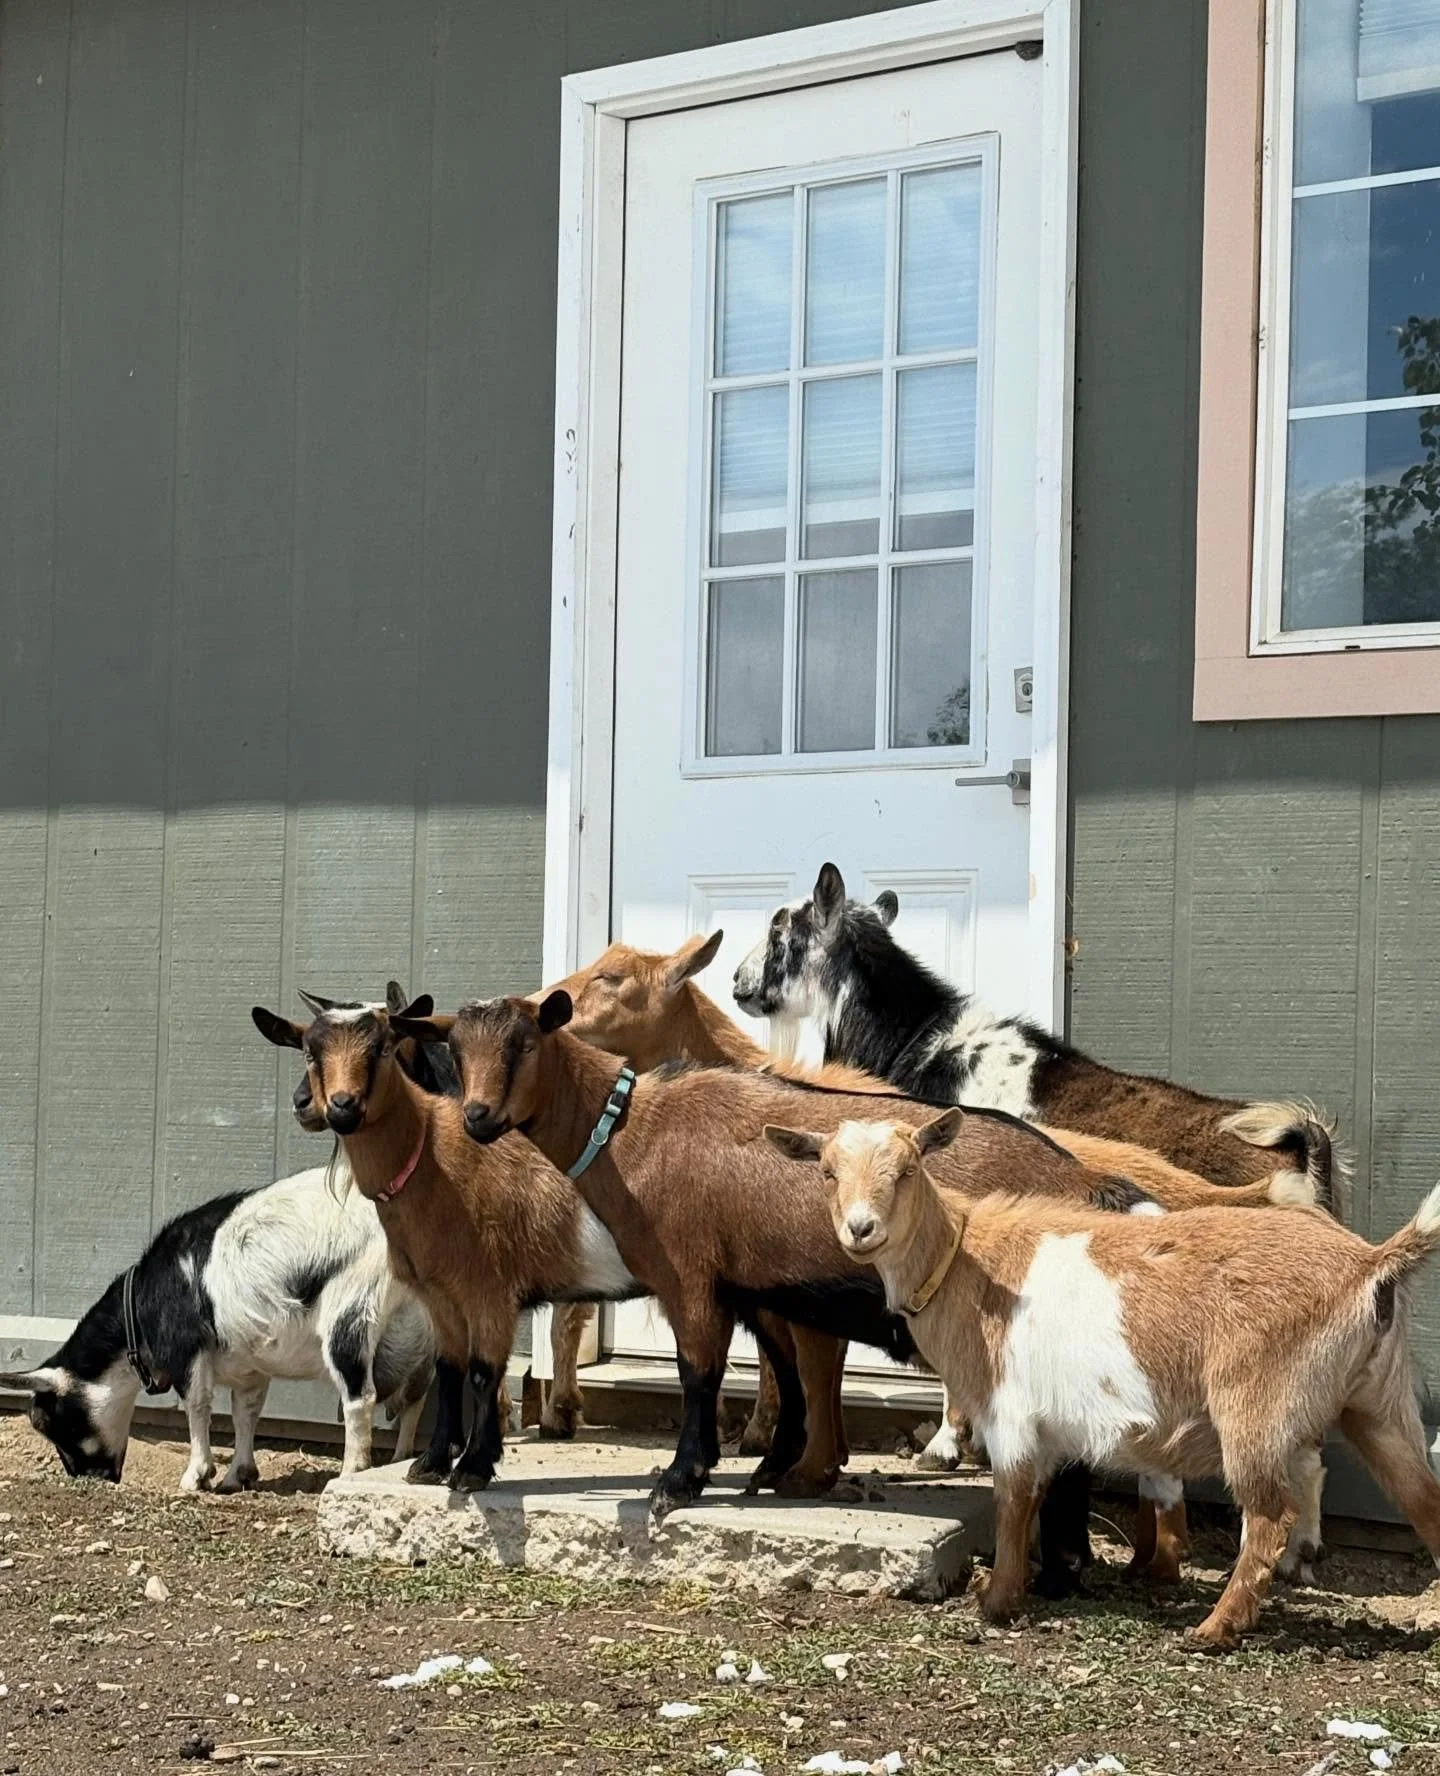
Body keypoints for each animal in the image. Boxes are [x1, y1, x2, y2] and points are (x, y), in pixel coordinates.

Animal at [251, 997, 647, 1492]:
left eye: (383, 1047)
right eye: (310, 1051)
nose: (340, 1106)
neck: (434, 1159)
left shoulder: (489, 1291)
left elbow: (484, 1373)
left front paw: (474, 1465)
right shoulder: (437, 1294)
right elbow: (450, 1369)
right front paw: (433, 1462)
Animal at [391, 991, 1192, 1567]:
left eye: (524, 1043)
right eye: (454, 1051)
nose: (478, 1118)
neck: (631, 1132)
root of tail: (1084, 1180)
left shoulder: (690, 1272)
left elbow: (700, 1373)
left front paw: (679, 1481)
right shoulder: (753, 1282)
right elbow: (783, 1369)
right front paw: (773, 1467)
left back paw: (1062, 1564)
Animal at [766, 1111, 1440, 1649]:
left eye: (907, 1170)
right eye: (827, 1171)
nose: (861, 1229)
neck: (964, 1260)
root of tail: (1371, 1263)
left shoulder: (1009, 1410)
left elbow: (1012, 1501)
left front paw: (997, 1601)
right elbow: (1038, 1500)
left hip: (1256, 1406)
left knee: (1270, 1517)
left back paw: (1213, 1629)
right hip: (1378, 1403)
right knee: (1424, 1501)